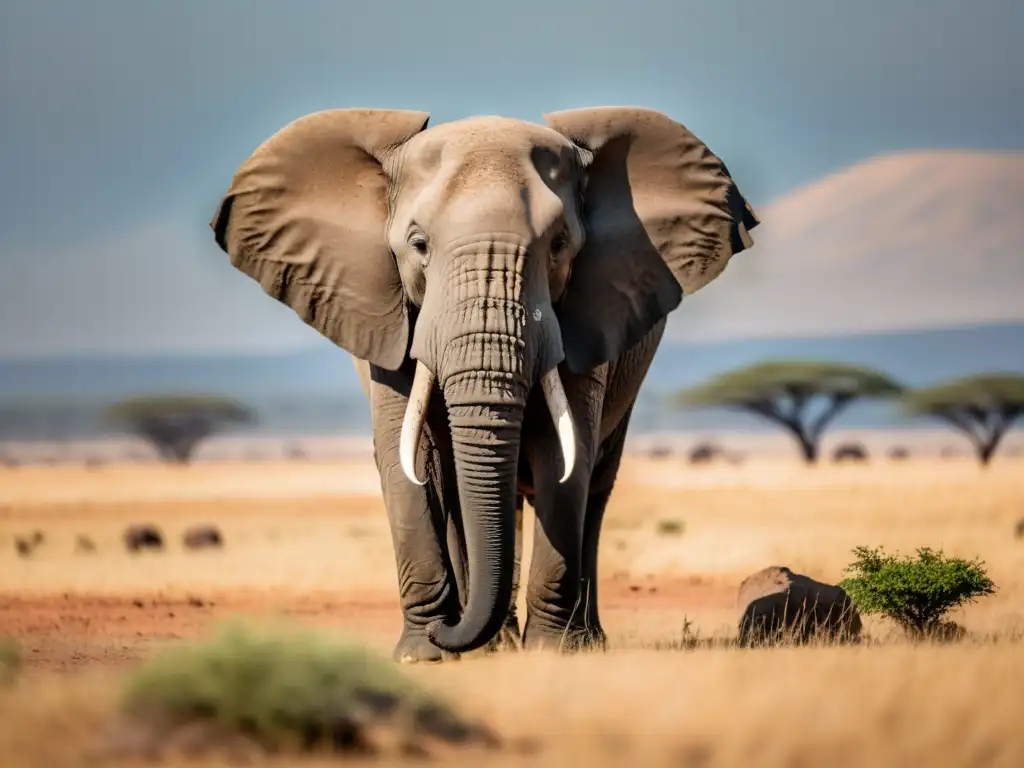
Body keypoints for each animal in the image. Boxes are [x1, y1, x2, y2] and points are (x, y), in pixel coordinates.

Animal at [209, 105, 761, 663]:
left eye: (559, 245)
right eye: (418, 245)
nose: (447, 632)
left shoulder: (589, 312)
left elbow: (565, 457)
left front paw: (549, 651)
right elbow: (408, 460)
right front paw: (423, 654)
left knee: (595, 486)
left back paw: (579, 640)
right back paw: (494, 644)